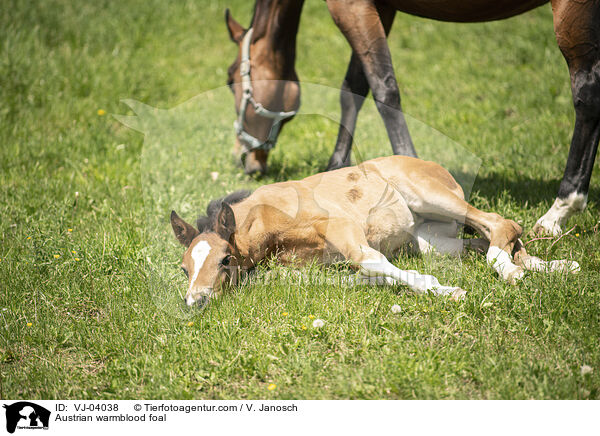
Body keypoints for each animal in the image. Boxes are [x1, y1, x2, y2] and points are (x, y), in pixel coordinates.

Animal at [171, 157, 580, 306]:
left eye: (225, 259)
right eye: (184, 268)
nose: (196, 301)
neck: (269, 217)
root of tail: (436, 167)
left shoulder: (343, 227)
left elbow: (371, 262)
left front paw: (448, 291)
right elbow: (368, 274)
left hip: (432, 197)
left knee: (501, 223)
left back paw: (515, 270)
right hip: (432, 241)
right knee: (485, 238)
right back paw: (553, 267)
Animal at [226, 0, 600, 235]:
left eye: (231, 79)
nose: (245, 158)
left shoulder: (350, 6)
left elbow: (383, 87)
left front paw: (407, 159)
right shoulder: (380, 7)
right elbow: (353, 88)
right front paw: (336, 165)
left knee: (587, 94)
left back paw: (560, 209)